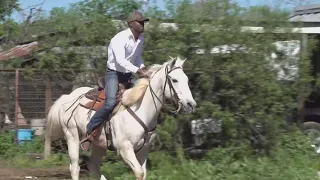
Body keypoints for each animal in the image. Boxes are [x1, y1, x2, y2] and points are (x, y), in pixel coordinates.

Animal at [43, 56, 196, 180]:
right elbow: (139, 172)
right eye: (174, 80)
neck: (140, 109)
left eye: (187, 79)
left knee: (93, 166)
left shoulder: (143, 150)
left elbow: (143, 174)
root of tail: (67, 97)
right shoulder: (125, 148)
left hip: (99, 143)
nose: (191, 104)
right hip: (72, 136)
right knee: (75, 167)